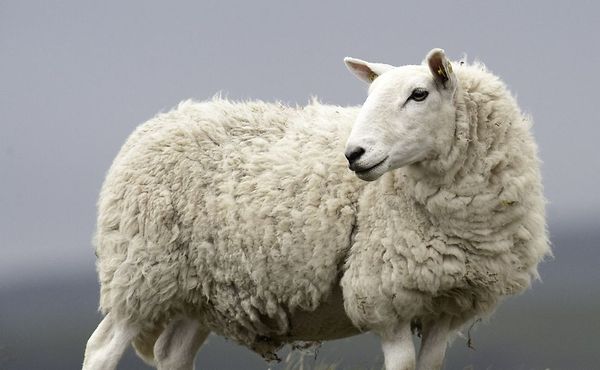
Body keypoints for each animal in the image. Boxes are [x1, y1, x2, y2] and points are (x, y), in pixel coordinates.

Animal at [83, 49, 548, 370]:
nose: (354, 154)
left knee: (171, 352)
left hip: (199, 289)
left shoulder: (449, 304)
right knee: (101, 349)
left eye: (419, 94)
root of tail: (157, 123)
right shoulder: (381, 293)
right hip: (140, 271)